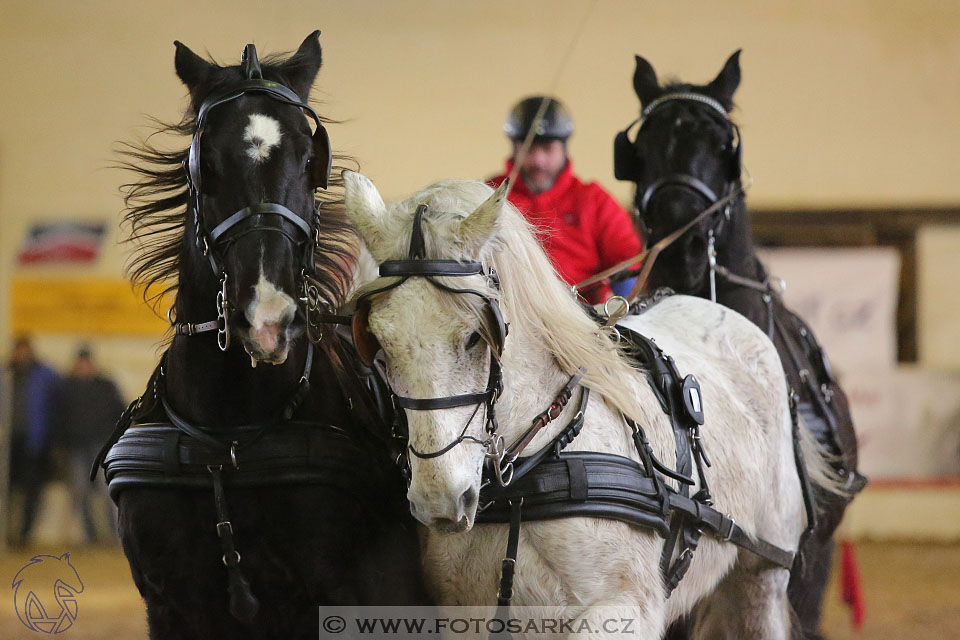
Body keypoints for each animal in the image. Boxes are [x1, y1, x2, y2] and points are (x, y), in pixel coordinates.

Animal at [94, 32, 428, 636]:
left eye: (310, 158)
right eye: (205, 162)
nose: (268, 316)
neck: (229, 437)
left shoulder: (346, 594)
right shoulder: (167, 601)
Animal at [342, 172, 836, 636]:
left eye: (475, 337)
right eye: (378, 344)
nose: (439, 500)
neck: (534, 469)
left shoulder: (620, 609)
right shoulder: (467, 616)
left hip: (763, 576)